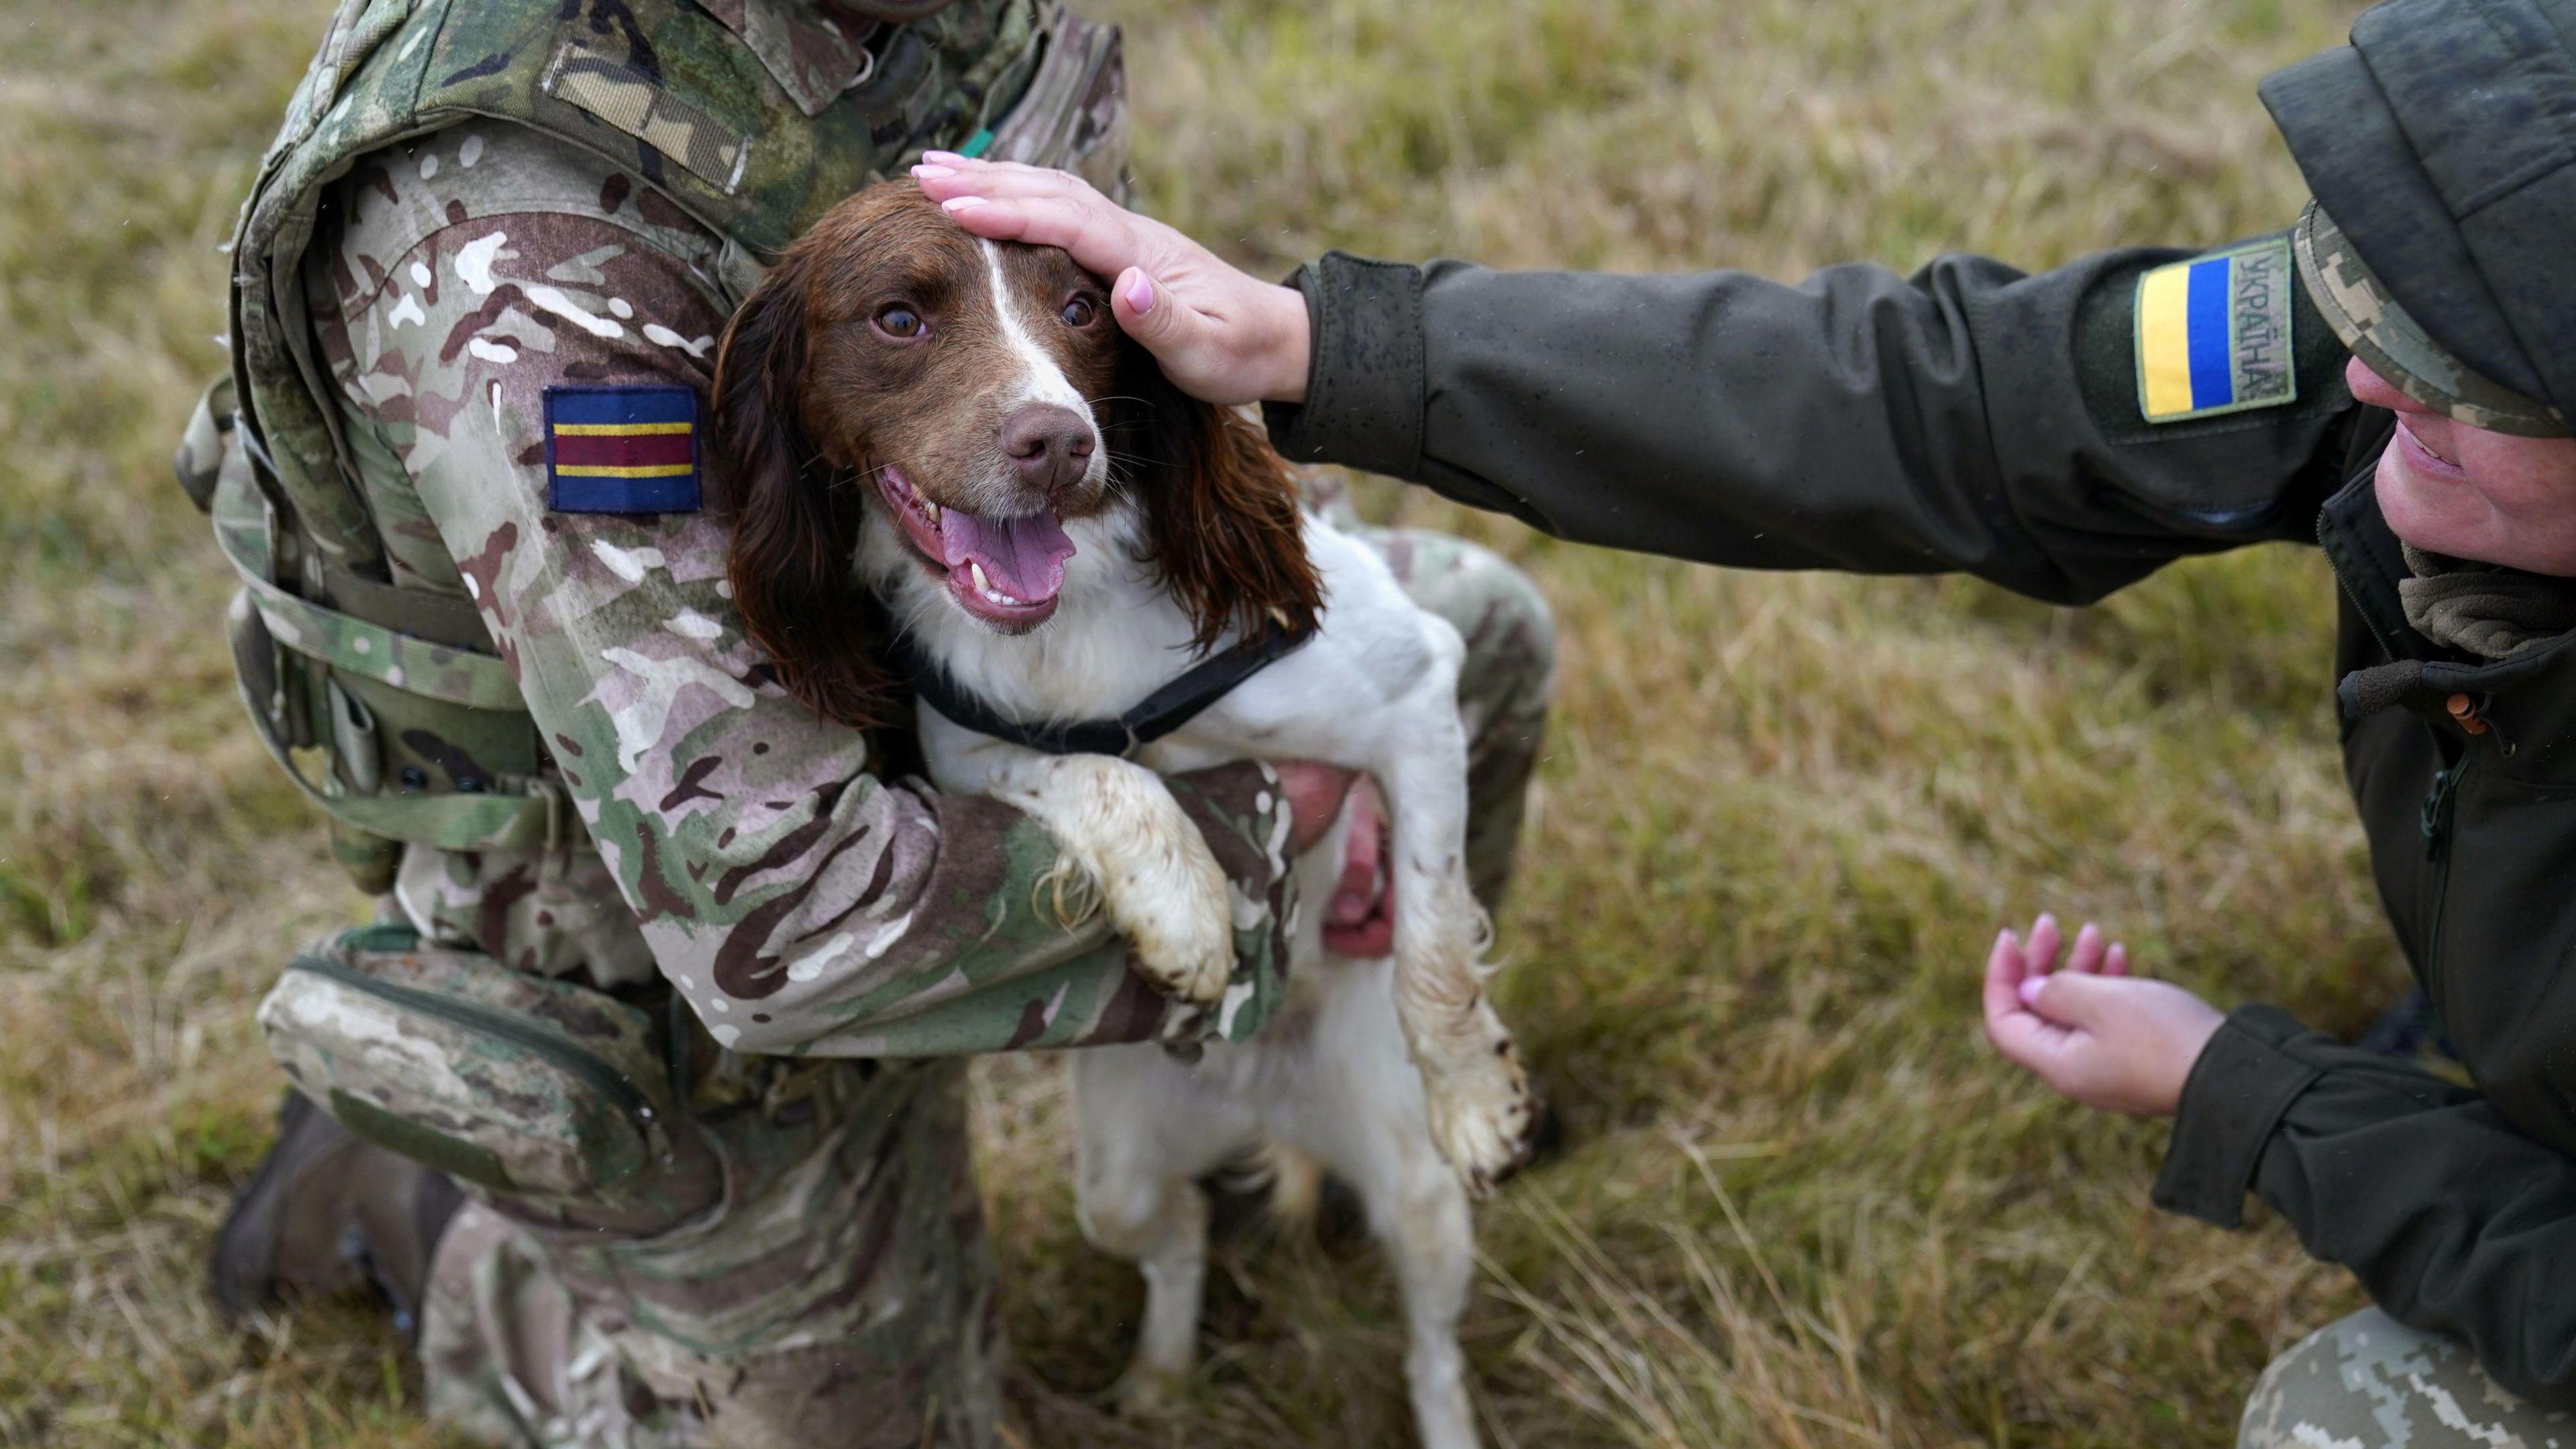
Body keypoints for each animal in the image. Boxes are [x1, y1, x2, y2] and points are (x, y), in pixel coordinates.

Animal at [710, 182, 1525, 1444]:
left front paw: (1477, 1093)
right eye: (898, 318)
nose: (1059, 442)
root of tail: (1264, 1102)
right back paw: (1159, 1380)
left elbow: (1433, 937)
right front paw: (1186, 906)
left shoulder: (1413, 696)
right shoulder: (965, 751)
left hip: (1415, 1202)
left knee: (1430, 1351)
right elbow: (1101, 775)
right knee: (1179, 1239)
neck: (1077, 614)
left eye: (1088, 307)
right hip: (1119, 1176)